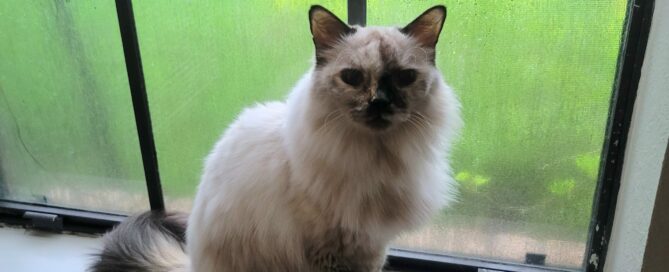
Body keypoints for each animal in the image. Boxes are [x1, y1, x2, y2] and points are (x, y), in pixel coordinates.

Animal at [88, 4, 460, 272]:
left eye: (404, 78)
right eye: (353, 78)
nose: (379, 103)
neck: (375, 157)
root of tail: (192, 264)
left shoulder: (371, 245)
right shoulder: (332, 253)